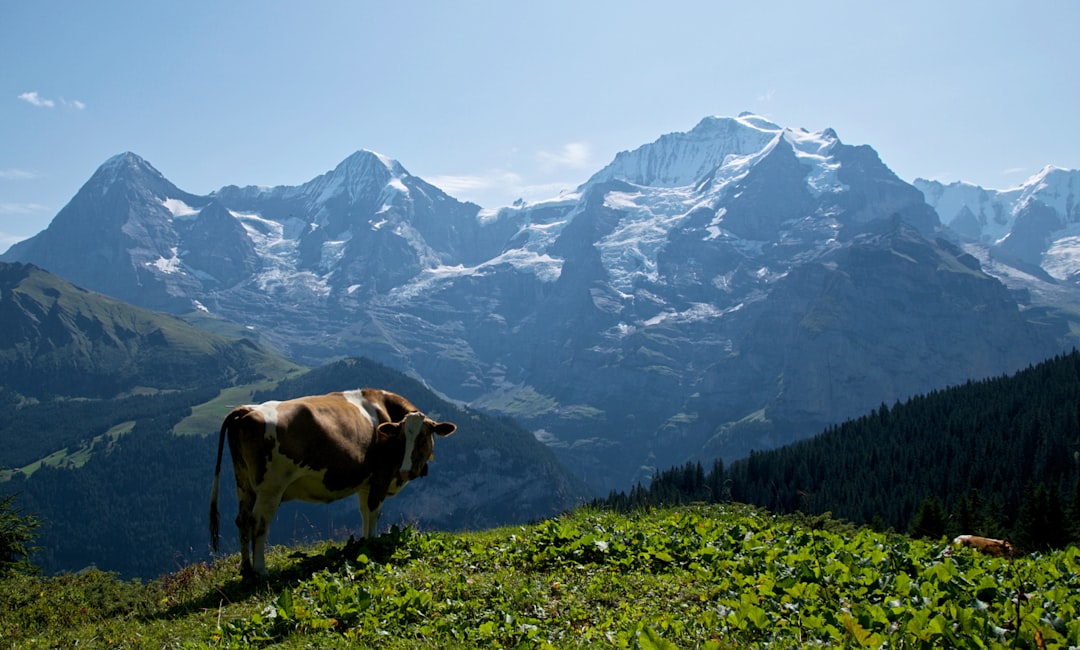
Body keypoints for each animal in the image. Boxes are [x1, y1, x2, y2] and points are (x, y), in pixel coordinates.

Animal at [209, 386, 455, 574]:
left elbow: (364, 512)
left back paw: (245, 568)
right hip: (270, 487)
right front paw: (373, 543)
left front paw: (365, 542)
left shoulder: (366, 483)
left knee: (241, 520)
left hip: (243, 482)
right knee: (258, 522)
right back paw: (261, 570)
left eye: (423, 438)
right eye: (403, 438)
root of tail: (247, 410)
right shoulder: (381, 476)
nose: (405, 470)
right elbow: (374, 512)